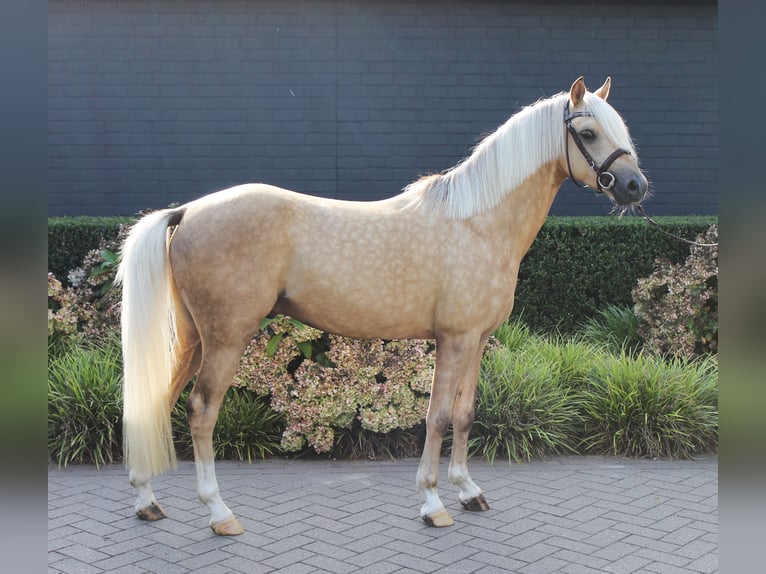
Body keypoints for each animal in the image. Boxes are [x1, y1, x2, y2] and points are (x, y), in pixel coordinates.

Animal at [118, 76, 648, 536]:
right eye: (587, 132)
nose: (634, 187)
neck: (478, 223)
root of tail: (188, 211)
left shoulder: (477, 341)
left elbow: (465, 414)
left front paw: (468, 491)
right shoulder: (454, 340)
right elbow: (436, 417)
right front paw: (433, 503)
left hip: (194, 337)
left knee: (159, 401)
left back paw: (147, 500)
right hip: (227, 339)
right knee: (202, 409)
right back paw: (219, 512)